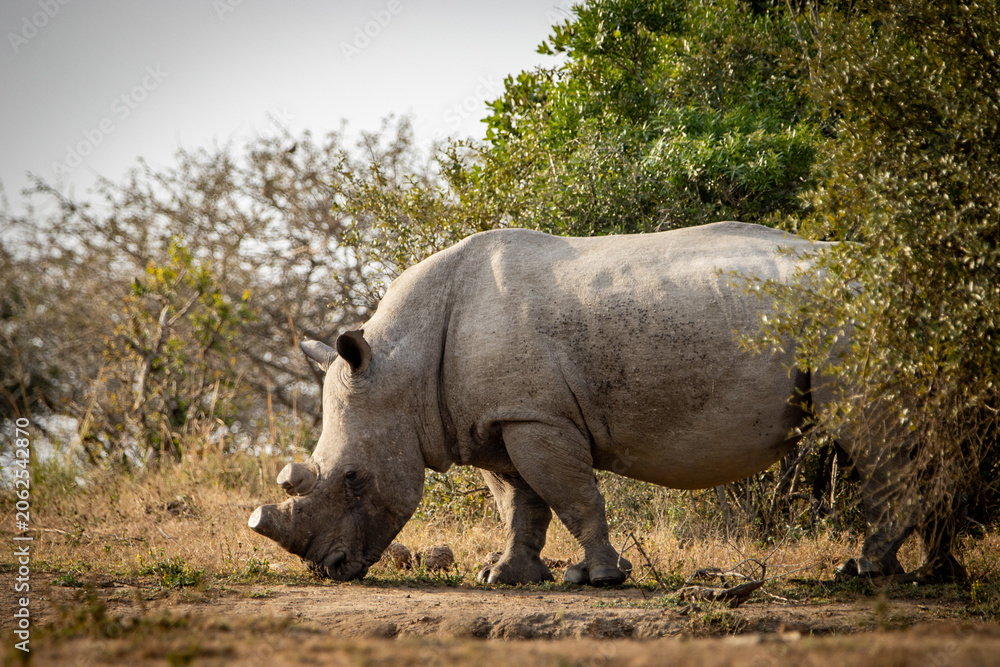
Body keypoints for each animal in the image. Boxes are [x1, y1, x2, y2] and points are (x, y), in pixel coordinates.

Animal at [249, 221, 963, 585]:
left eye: (352, 480)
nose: (326, 568)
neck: (404, 364)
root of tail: (912, 281)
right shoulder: (504, 417)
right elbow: (521, 505)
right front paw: (506, 577)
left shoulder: (537, 417)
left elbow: (571, 496)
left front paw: (598, 578)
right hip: (884, 324)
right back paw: (937, 576)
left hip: (852, 322)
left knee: (869, 431)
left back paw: (863, 571)